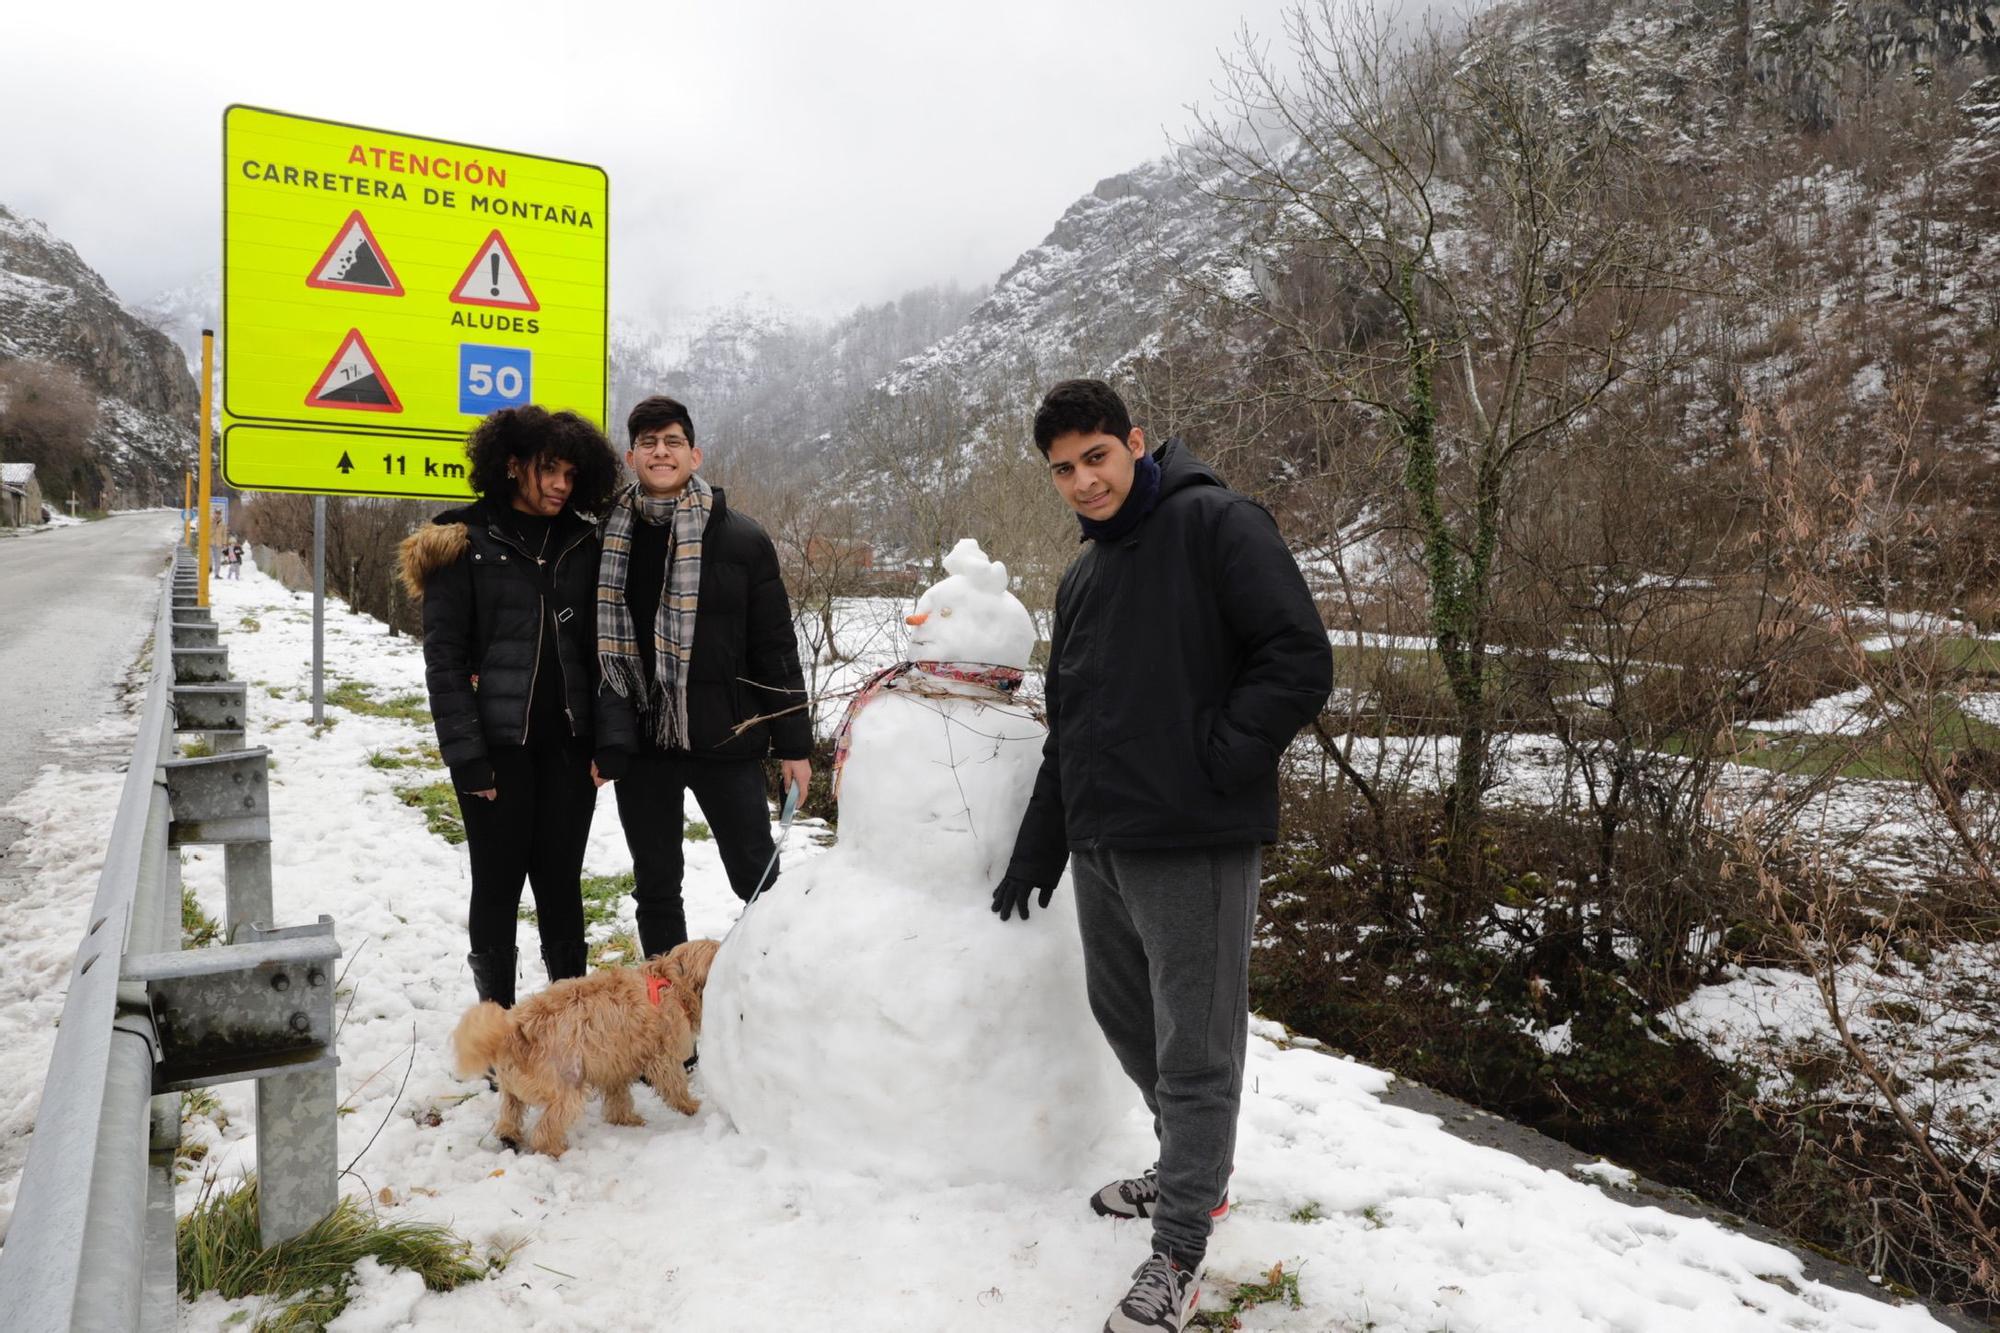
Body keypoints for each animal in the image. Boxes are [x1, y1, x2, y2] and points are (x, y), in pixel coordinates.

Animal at [452, 932, 720, 1152]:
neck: (671, 981)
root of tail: (513, 1030)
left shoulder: (615, 1065)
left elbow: (619, 1097)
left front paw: (626, 1120)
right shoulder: (662, 1058)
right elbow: (675, 1085)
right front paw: (691, 1107)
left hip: (512, 1089)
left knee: (509, 1114)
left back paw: (510, 1136)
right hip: (566, 1091)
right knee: (544, 1132)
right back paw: (556, 1150)